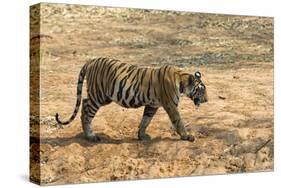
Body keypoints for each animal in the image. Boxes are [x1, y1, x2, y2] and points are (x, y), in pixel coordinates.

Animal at [55, 57, 207, 142]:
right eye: (201, 90)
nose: (206, 100)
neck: (181, 80)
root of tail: (91, 61)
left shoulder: (152, 105)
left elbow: (145, 121)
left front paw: (141, 136)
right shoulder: (170, 105)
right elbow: (178, 121)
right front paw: (187, 137)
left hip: (103, 97)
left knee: (84, 103)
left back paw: (87, 134)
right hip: (99, 95)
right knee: (87, 110)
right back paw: (91, 136)